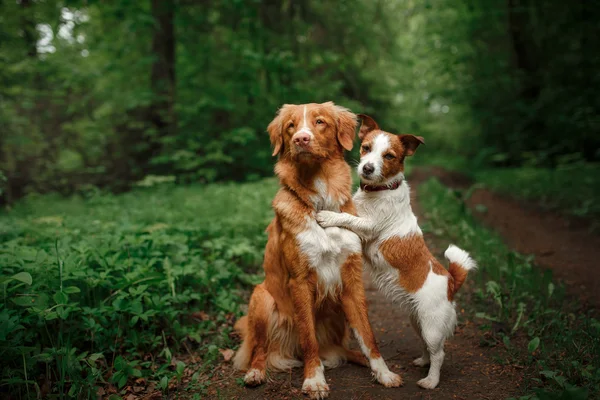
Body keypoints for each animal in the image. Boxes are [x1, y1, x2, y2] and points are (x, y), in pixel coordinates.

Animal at [232, 104, 400, 400]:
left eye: (319, 122)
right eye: (290, 125)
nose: (301, 138)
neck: (320, 197)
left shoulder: (352, 280)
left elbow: (368, 334)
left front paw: (383, 372)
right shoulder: (299, 281)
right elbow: (308, 337)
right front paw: (314, 380)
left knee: (344, 348)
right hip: (261, 298)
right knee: (260, 347)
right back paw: (256, 372)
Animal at [314, 114, 478, 390]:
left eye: (389, 156)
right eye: (366, 148)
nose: (367, 168)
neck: (380, 191)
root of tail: (451, 282)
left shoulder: (368, 227)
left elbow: (348, 218)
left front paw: (328, 216)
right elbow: (347, 210)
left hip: (432, 325)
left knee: (439, 353)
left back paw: (430, 380)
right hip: (418, 320)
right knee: (428, 348)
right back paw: (422, 361)